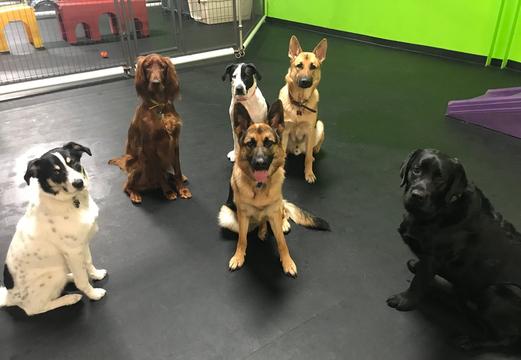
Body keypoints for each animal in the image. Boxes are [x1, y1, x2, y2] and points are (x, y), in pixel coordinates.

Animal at [0, 142, 106, 316]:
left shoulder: (81, 245)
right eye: (56, 172)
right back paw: (70, 298)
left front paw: (96, 275)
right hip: (52, 276)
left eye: (73, 162)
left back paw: (70, 277)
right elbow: (82, 281)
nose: (79, 183)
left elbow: (88, 262)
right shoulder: (72, 252)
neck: (72, 201)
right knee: (34, 309)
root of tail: (9, 297)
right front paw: (93, 294)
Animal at [109, 54, 191, 204]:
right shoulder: (149, 146)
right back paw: (135, 194)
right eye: (147, 66)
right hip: (139, 162)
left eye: (163, 66)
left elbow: (177, 169)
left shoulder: (175, 142)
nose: (156, 82)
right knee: (127, 186)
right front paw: (168, 191)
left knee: (170, 174)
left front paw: (182, 189)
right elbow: (159, 172)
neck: (160, 106)